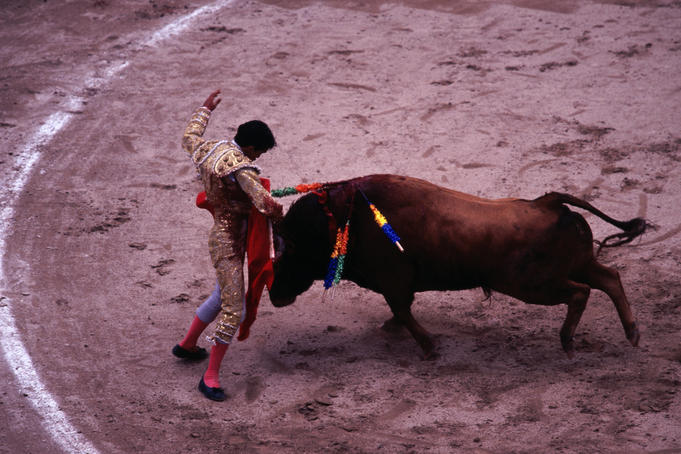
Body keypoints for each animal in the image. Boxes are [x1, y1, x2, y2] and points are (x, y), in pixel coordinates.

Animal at [266, 174, 644, 358]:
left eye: (289, 252)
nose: (273, 294)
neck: (344, 220)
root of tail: (547, 203)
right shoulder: (399, 284)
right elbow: (402, 310)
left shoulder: (394, 281)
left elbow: (402, 310)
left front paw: (428, 348)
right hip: (577, 264)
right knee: (609, 277)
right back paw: (632, 333)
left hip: (534, 285)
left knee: (581, 292)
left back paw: (567, 341)